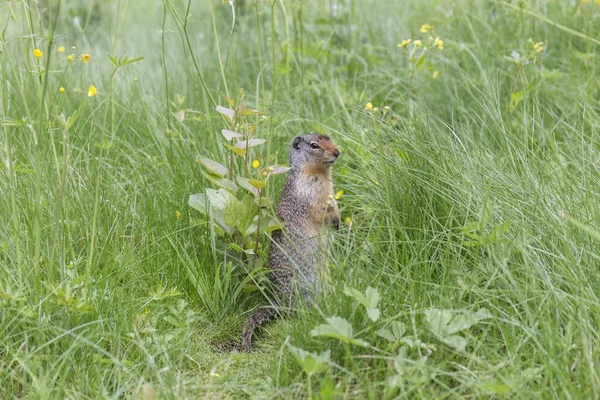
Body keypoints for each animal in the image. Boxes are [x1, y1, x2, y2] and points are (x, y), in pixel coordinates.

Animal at [240, 133, 342, 348]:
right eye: (314, 145)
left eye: (329, 138)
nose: (337, 152)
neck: (321, 174)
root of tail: (280, 303)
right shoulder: (309, 194)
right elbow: (321, 209)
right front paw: (334, 219)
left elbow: (334, 203)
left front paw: (338, 221)